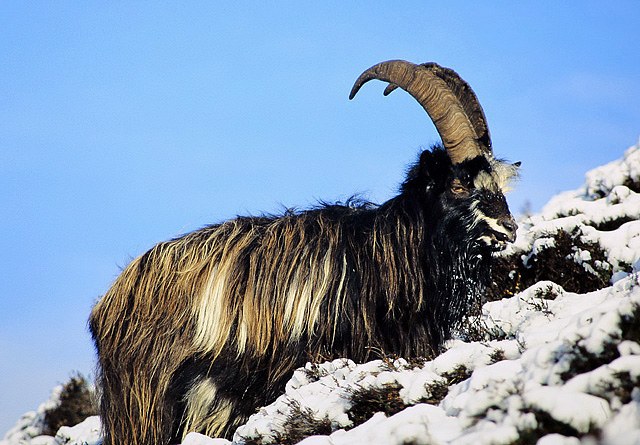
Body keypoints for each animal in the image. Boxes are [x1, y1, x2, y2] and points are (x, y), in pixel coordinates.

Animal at [89, 59, 519, 444]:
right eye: (458, 185)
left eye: (497, 182)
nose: (509, 228)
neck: (385, 254)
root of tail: (110, 302)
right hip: (146, 406)